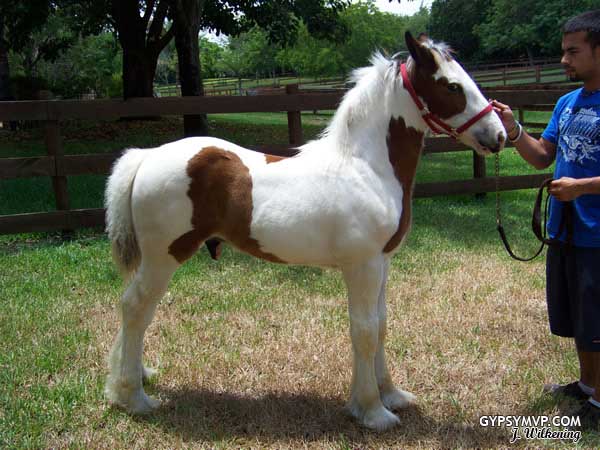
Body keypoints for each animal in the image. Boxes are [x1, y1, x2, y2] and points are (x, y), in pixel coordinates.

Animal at [104, 32, 506, 432]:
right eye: (452, 85)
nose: (499, 134)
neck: (366, 168)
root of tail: (148, 155)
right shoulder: (362, 266)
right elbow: (364, 331)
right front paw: (372, 411)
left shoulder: (382, 264)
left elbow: (381, 326)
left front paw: (392, 395)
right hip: (164, 256)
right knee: (135, 306)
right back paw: (133, 397)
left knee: (138, 309)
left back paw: (137, 377)